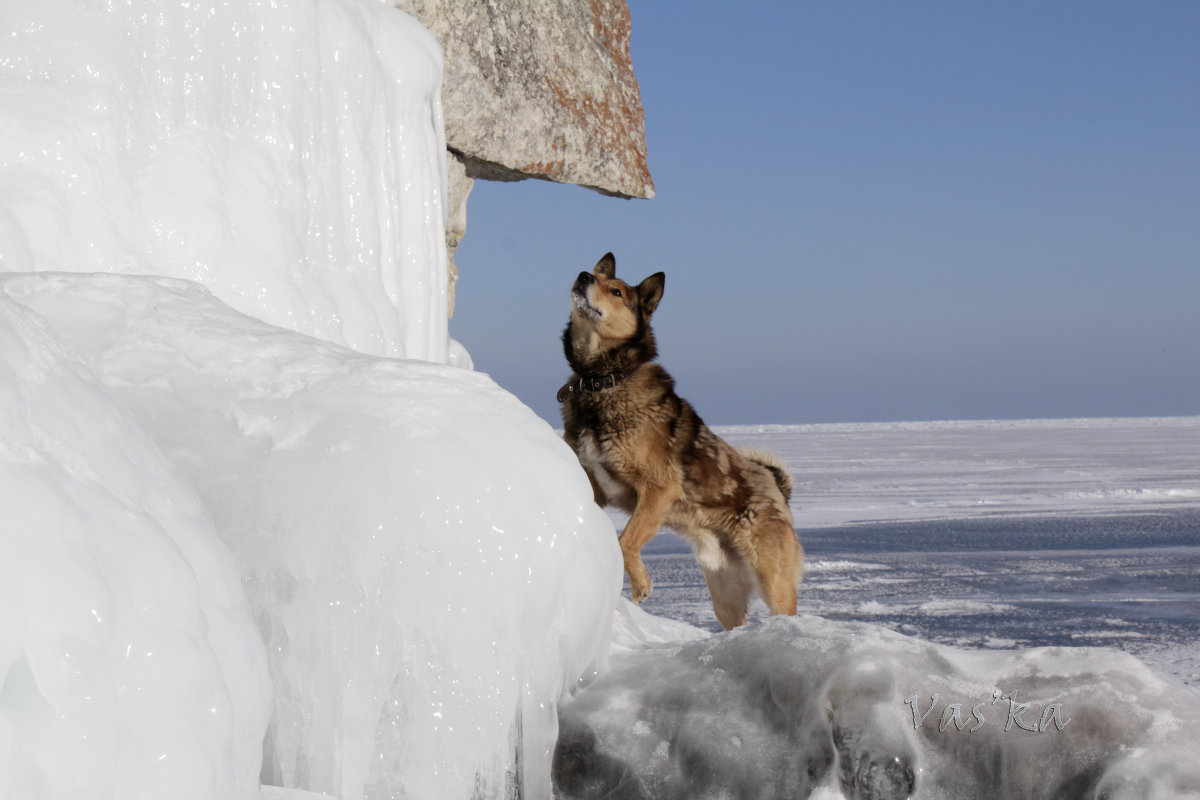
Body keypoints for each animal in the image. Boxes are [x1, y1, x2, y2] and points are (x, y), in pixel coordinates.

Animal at [556, 253, 801, 628]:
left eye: (616, 291)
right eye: (595, 275)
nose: (583, 276)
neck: (603, 380)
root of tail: (777, 490)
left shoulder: (659, 488)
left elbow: (625, 540)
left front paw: (641, 584)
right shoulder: (596, 487)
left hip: (774, 582)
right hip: (724, 594)